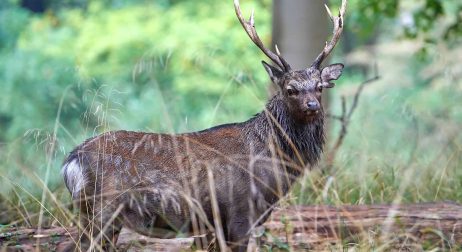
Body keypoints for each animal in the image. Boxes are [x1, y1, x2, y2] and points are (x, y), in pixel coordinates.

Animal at [62, 0, 346, 250]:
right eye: (290, 89)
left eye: (320, 87)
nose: (312, 106)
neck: (274, 167)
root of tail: (70, 162)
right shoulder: (239, 214)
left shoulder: (215, 225)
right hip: (103, 210)